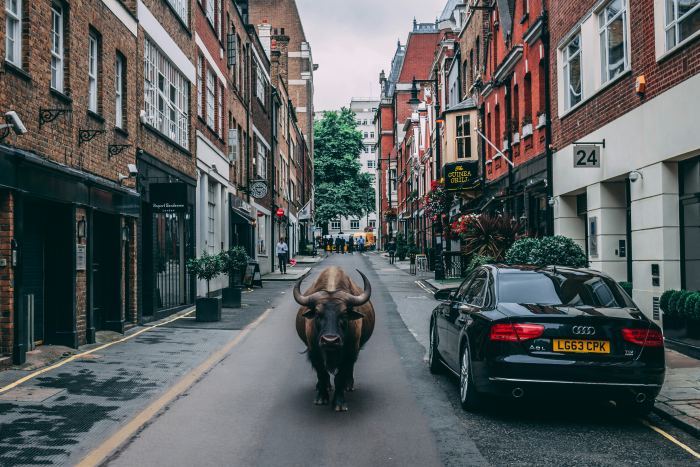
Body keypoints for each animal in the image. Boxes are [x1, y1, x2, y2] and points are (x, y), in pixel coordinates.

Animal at [294, 267, 375, 411]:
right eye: (317, 313)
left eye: (345, 313)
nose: (330, 340)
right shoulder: (314, 352)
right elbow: (322, 373)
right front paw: (321, 398)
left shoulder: (351, 352)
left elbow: (340, 376)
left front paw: (339, 403)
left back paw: (349, 385)